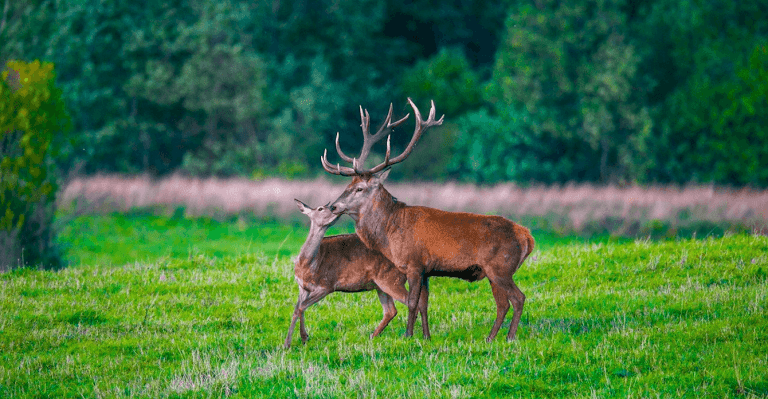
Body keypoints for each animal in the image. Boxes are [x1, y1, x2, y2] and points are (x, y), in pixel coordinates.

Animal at [284, 198, 428, 348]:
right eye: (320, 208)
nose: (335, 209)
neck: (307, 264)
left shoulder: (327, 285)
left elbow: (301, 307)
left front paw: (300, 339)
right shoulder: (302, 286)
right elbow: (297, 308)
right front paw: (292, 341)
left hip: (391, 279)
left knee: (410, 302)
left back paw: (408, 336)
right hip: (381, 285)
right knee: (391, 310)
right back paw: (373, 336)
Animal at [322, 98, 536, 342]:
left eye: (359, 188)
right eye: (347, 185)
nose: (333, 206)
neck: (390, 232)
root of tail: (527, 237)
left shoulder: (414, 263)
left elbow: (412, 302)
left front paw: (408, 335)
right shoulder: (426, 270)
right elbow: (424, 303)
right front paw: (426, 336)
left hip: (501, 266)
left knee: (518, 298)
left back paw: (509, 337)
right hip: (494, 272)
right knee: (502, 304)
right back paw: (490, 338)